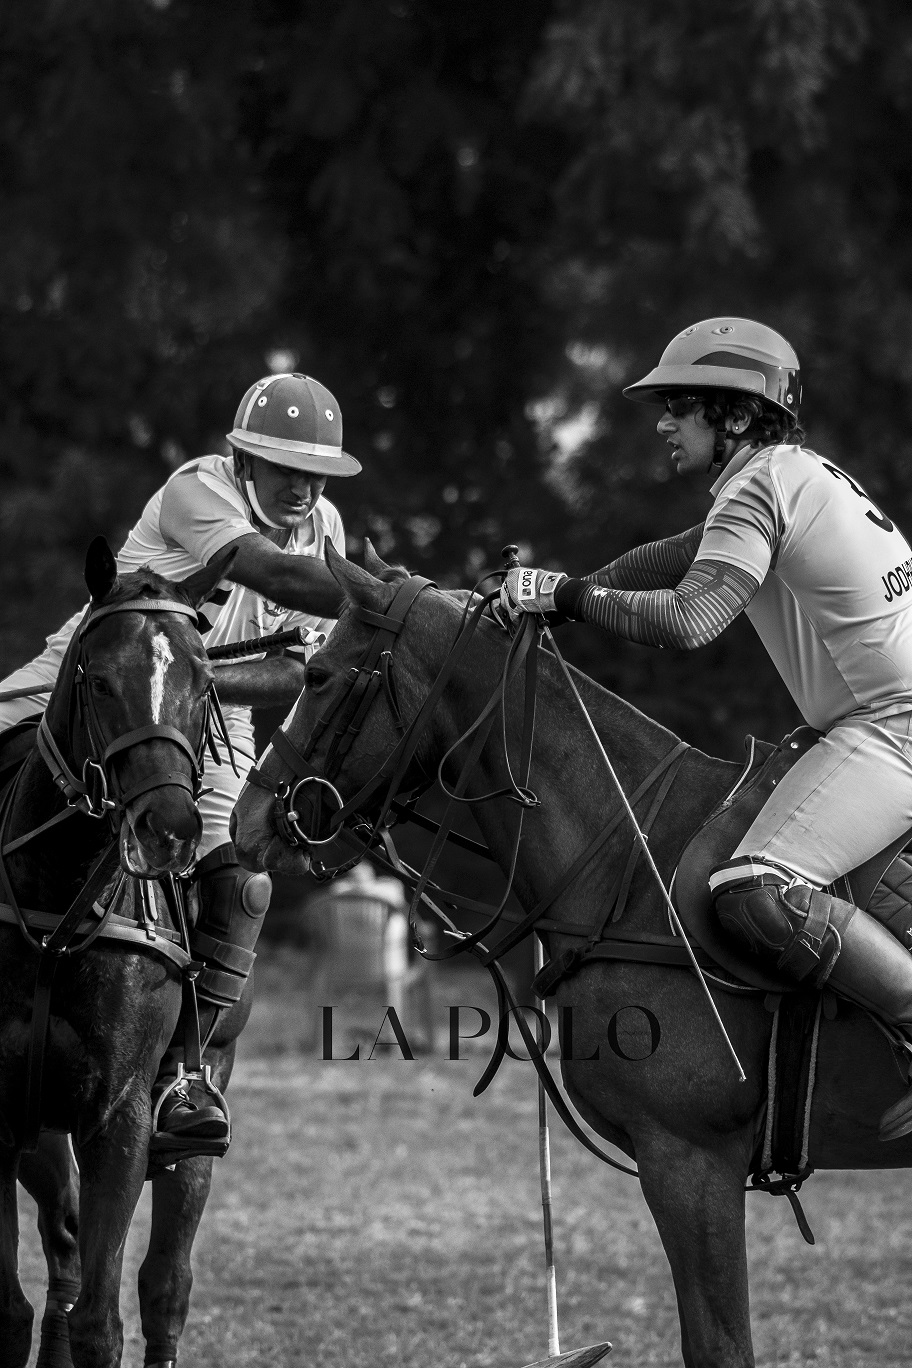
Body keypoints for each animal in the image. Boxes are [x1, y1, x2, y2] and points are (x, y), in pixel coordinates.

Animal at [0, 541, 250, 1368]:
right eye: (101, 679)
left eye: (204, 684)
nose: (169, 829)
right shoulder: (4, 1111)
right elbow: (13, 1310)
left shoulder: (121, 1114)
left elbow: (103, 1323)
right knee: (66, 1250)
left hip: (196, 1104)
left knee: (163, 1284)